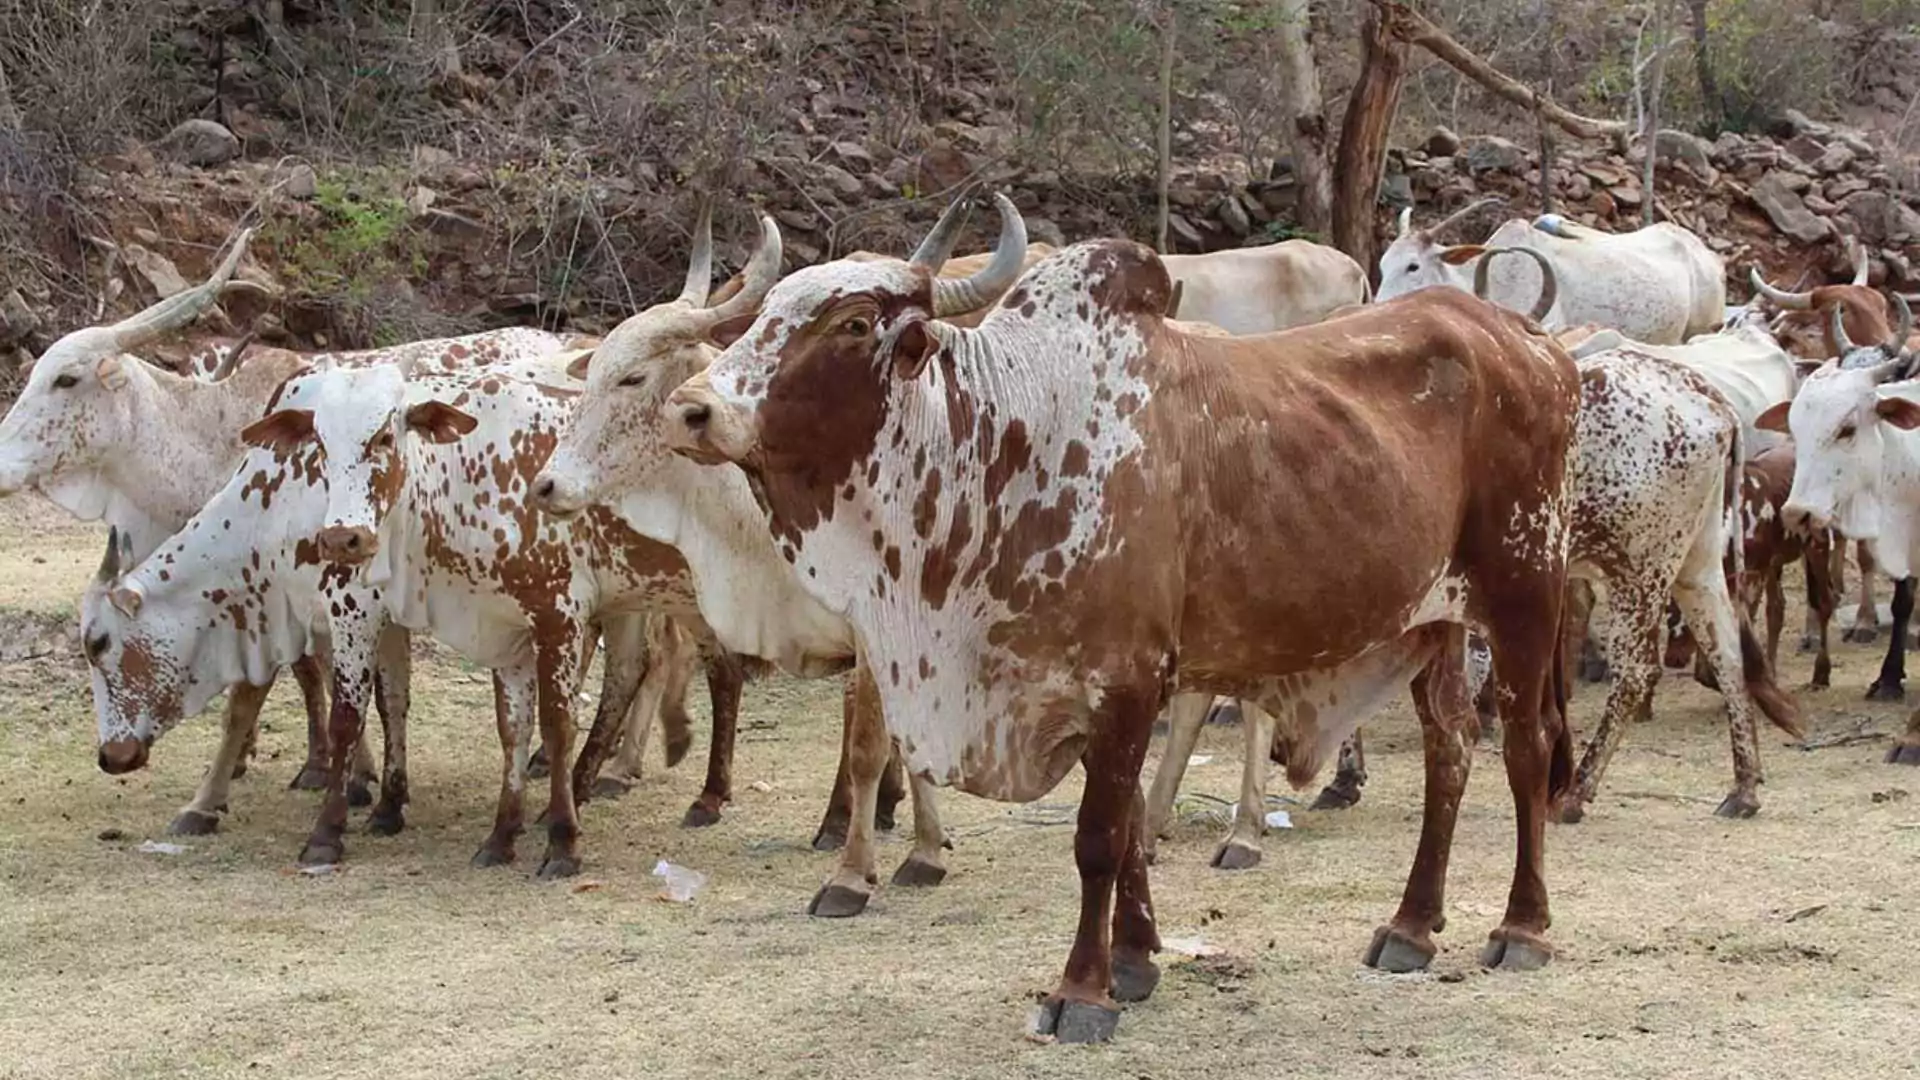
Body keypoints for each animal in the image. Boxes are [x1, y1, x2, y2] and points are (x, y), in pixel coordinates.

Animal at [529, 203, 956, 907]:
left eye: (633, 376)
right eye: (592, 372)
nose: (547, 485)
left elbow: (870, 741)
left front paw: (864, 866)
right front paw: (920, 845)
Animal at [668, 189, 1582, 1037]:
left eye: (853, 323)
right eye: (768, 310)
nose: (691, 408)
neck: (999, 440)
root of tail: (1531, 342)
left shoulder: (1128, 681)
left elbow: (1100, 836)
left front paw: (1083, 991)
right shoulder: (1074, 689)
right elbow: (1134, 820)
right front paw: (1137, 961)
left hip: (1525, 588)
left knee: (1527, 745)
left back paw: (1523, 927)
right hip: (1434, 621)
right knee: (1449, 750)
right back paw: (1412, 926)